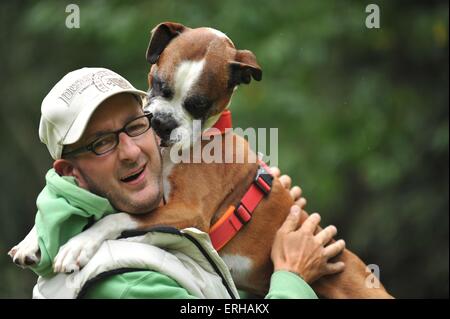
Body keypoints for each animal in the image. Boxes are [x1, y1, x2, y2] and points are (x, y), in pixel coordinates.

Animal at [9, 23, 390, 300]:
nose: (162, 124)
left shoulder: (187, 212)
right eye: (158, 83)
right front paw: (32, 241)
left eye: (198, 105)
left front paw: (78, 245)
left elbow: (116, 217)